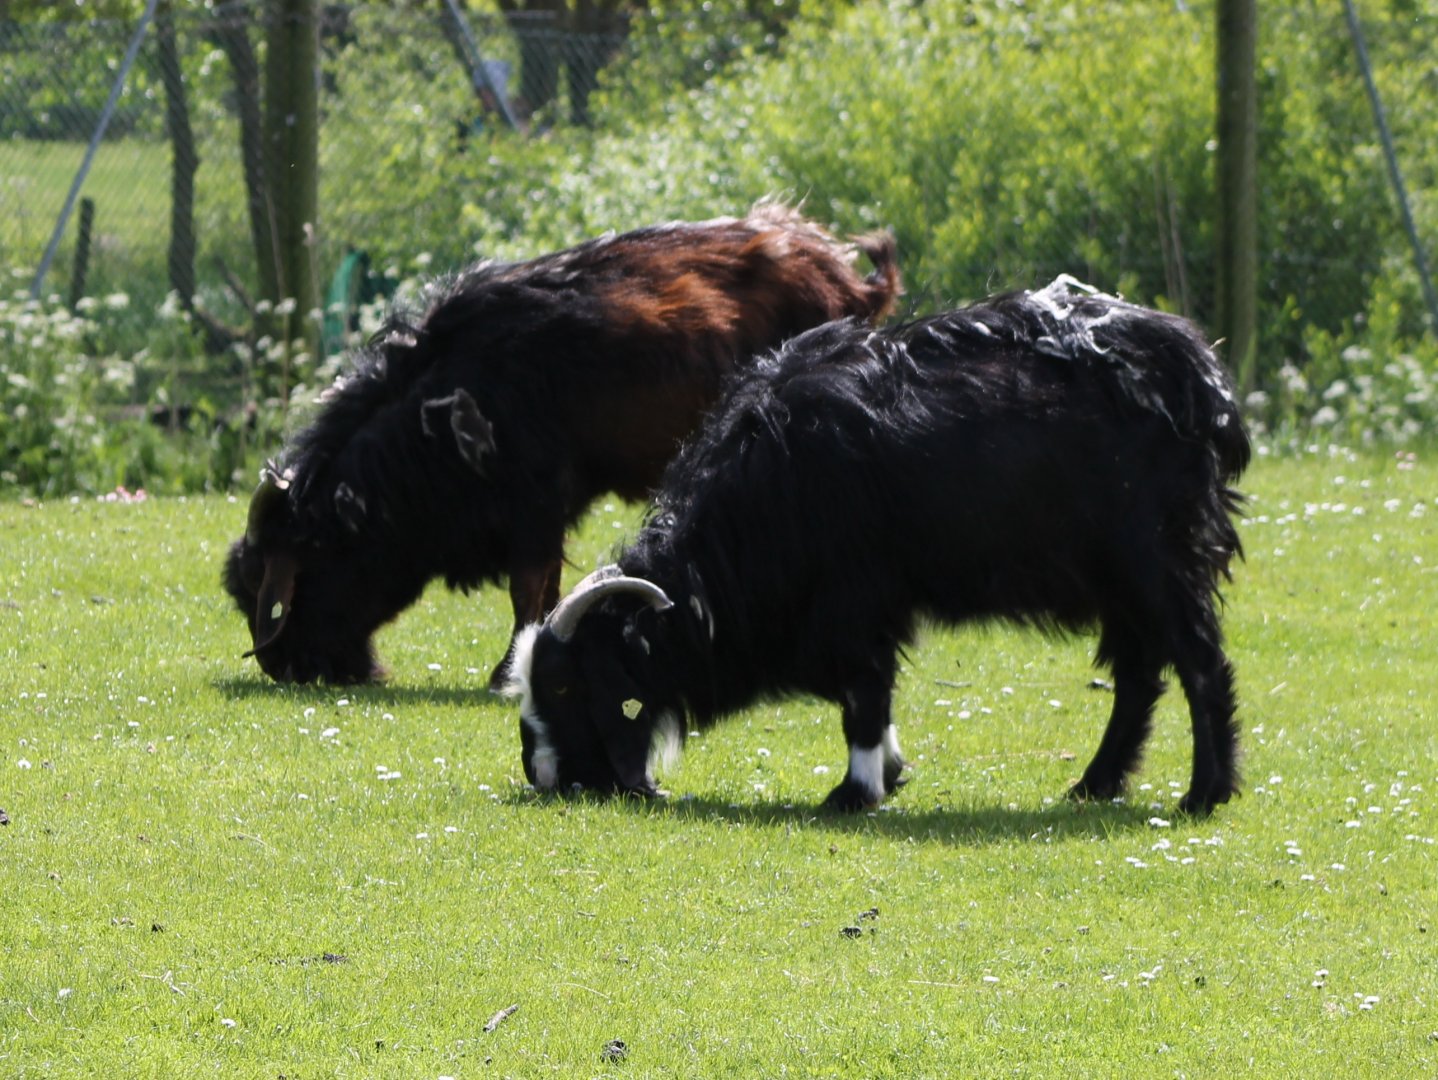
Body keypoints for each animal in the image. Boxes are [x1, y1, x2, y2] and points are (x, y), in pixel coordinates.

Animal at [224, 204, 900, 688]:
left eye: (283, 579)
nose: (286, 668)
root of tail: (839, 274)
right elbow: (543, 591)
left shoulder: (535, 506)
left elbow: (529, 591)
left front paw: (506, 672)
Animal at [506, 277, 1250, 814]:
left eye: (567, 685)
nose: (541, 775)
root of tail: (1202, 379)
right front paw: (890, 775)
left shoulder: (856, 603)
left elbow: (863, 698)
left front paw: (855, 792)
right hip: (1120, 582)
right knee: (1140, 677)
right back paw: (1096, 784)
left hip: (1156, 560)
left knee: (1200, 664)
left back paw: (1203, 795)